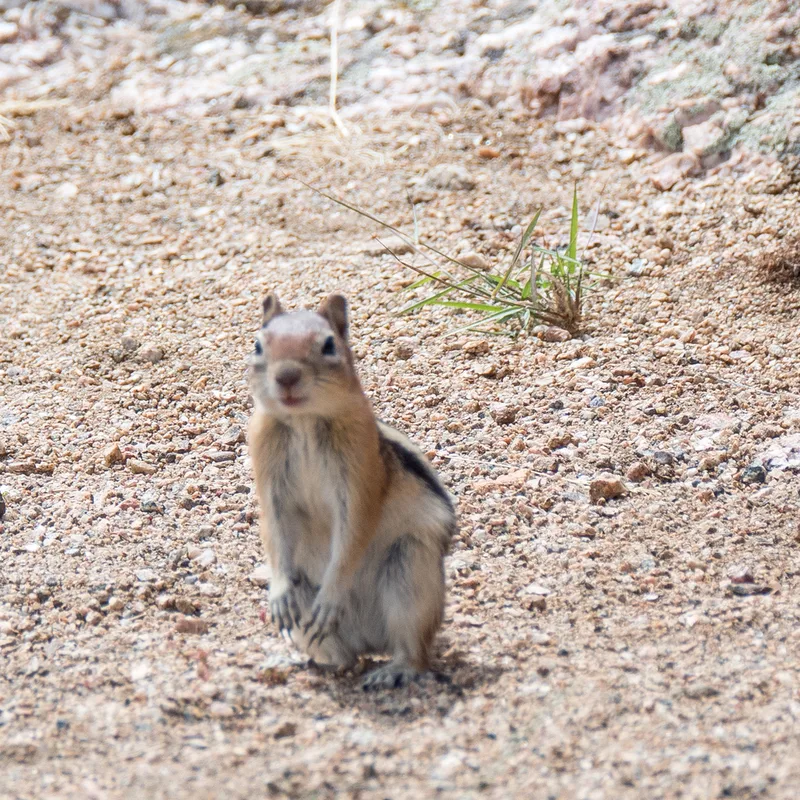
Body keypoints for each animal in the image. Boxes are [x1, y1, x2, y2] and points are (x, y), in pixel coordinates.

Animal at [248, 293, 456, 689]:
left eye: (329, 345)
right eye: (258, 345)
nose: (286, 376)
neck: (304, 421)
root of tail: (371, 642)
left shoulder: (359, 484)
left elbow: (352, 537)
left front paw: (331, 596)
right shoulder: (269, 480)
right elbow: (273, 532)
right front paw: (277, 594)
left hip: (409, 570)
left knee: (415, 653)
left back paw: (393, 671)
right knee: (344, 657)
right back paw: (311, 666)